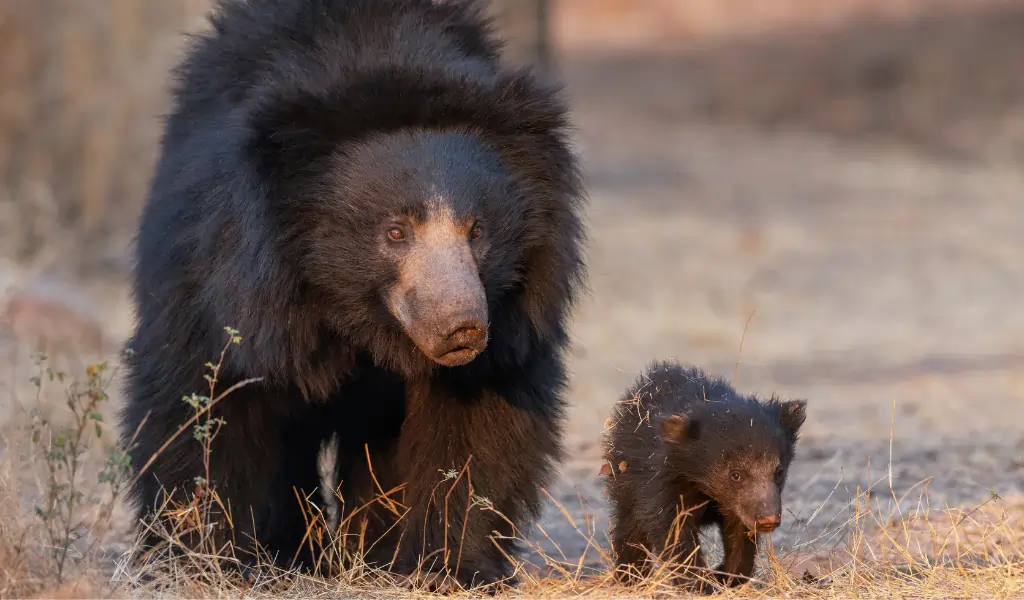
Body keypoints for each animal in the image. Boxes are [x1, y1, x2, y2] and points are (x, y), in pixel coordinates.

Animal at [119, 0, 585, 590]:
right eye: (395, 231)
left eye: (477, 230)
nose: (462, 329)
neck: (358, 318)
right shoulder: (226, 287)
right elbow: (209, 405)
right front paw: (207, 561)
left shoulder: (514, 322)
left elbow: (477, 428)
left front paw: (448, 566)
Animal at [601, 361, 806, 591]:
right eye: (736, 475)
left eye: (778, 472)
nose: (768, 519)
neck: (703, 483)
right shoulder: (661, 480)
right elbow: (673, 529)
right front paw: (698, 584)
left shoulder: (737, 505)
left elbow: (740, 535)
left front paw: (724, 576)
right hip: (625, 477)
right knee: (630, 527)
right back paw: (630, 577)